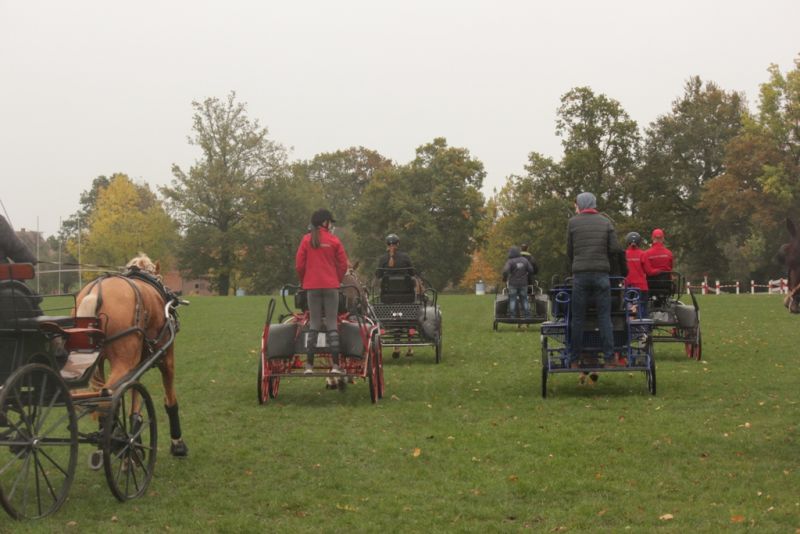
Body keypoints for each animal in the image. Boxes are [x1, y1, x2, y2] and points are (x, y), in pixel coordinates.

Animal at [75, 253, 188, 456]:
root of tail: (96, 291)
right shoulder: (166, 358)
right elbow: (170, 400)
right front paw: (177, 443)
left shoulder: (137, 365)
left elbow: (135, 400)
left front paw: (136, 430)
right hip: (124, 364)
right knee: (107, 400)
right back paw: (117, 443)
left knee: (103, 398)